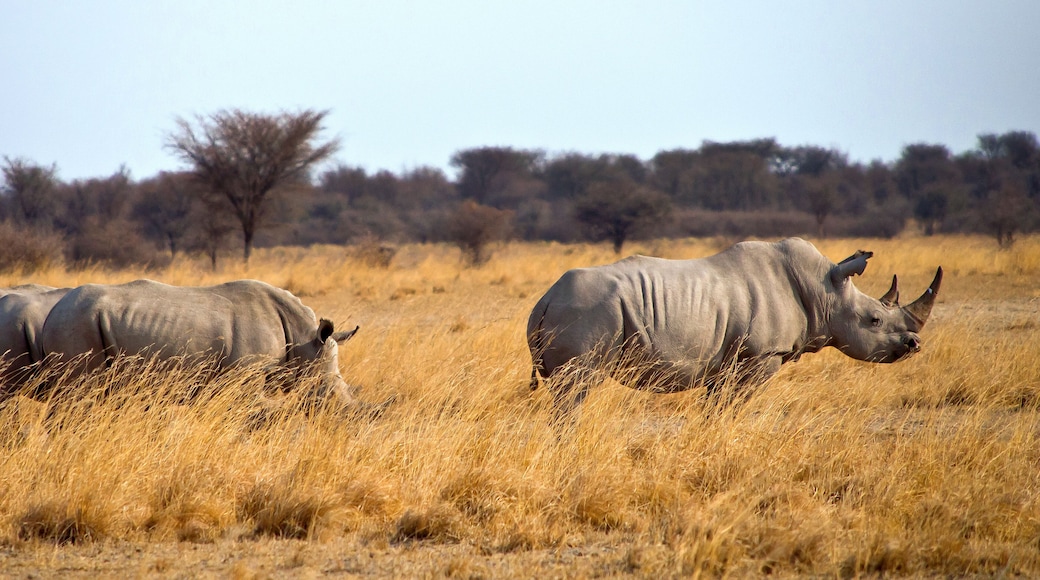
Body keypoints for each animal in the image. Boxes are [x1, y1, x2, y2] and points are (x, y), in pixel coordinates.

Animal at [36, 279, 360, 406]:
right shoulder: (243, 377)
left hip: (77, 321)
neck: (304, 339)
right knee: (77, 396)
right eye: (326, 395)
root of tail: (51, 312)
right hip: (76, 323)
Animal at [527, 238, 942, 410]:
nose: (914, 345)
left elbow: (715, 406)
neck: (822, 289)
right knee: (576, 388)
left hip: (577, 309)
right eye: (874, 320)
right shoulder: (760, 356)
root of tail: (544, 299)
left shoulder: (724, 362)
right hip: (586, 311)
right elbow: (734, 405)